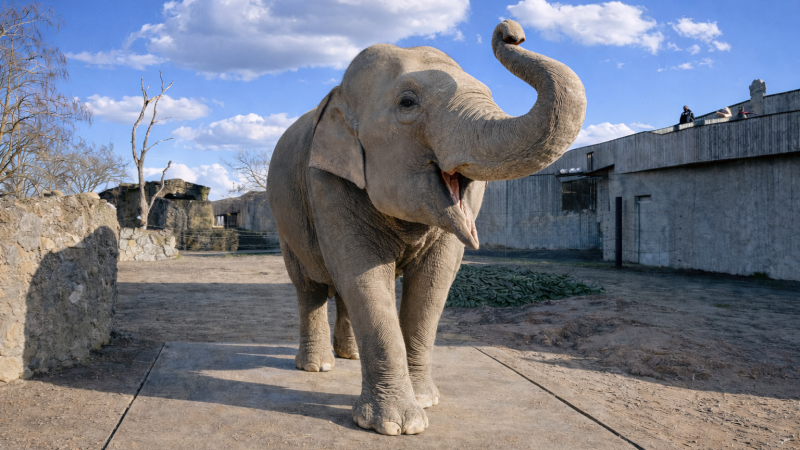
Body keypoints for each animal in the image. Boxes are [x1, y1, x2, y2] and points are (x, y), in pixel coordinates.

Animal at [266, 19, 585, 435]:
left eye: (489, 94)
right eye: (407, 103)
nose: (511, 31)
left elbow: (434, 281)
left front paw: (426, 401)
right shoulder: (325, 180)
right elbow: (363, 275)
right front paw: (397, 426)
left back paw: (349, 357)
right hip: (284, 221)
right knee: (310, 286)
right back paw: (318, 366)